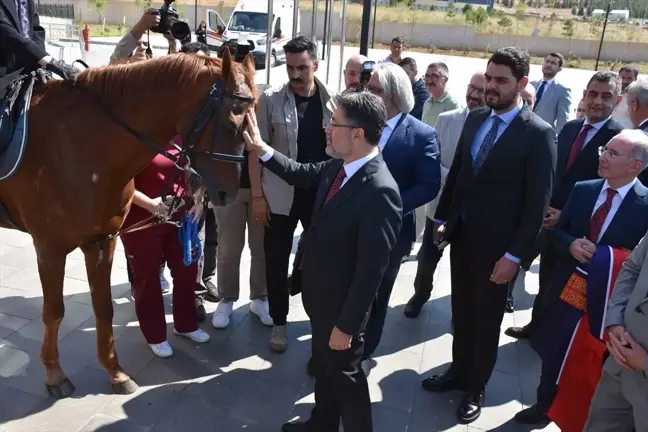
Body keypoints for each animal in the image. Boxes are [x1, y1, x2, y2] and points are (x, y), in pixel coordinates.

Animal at [0, 49, 256, 396]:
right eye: (232, 125)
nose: (228, 192)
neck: (81, 144)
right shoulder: (49, 248)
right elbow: (53, 312)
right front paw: (54, 375)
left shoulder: (101, 241)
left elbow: (103, 307)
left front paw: (115, 372)